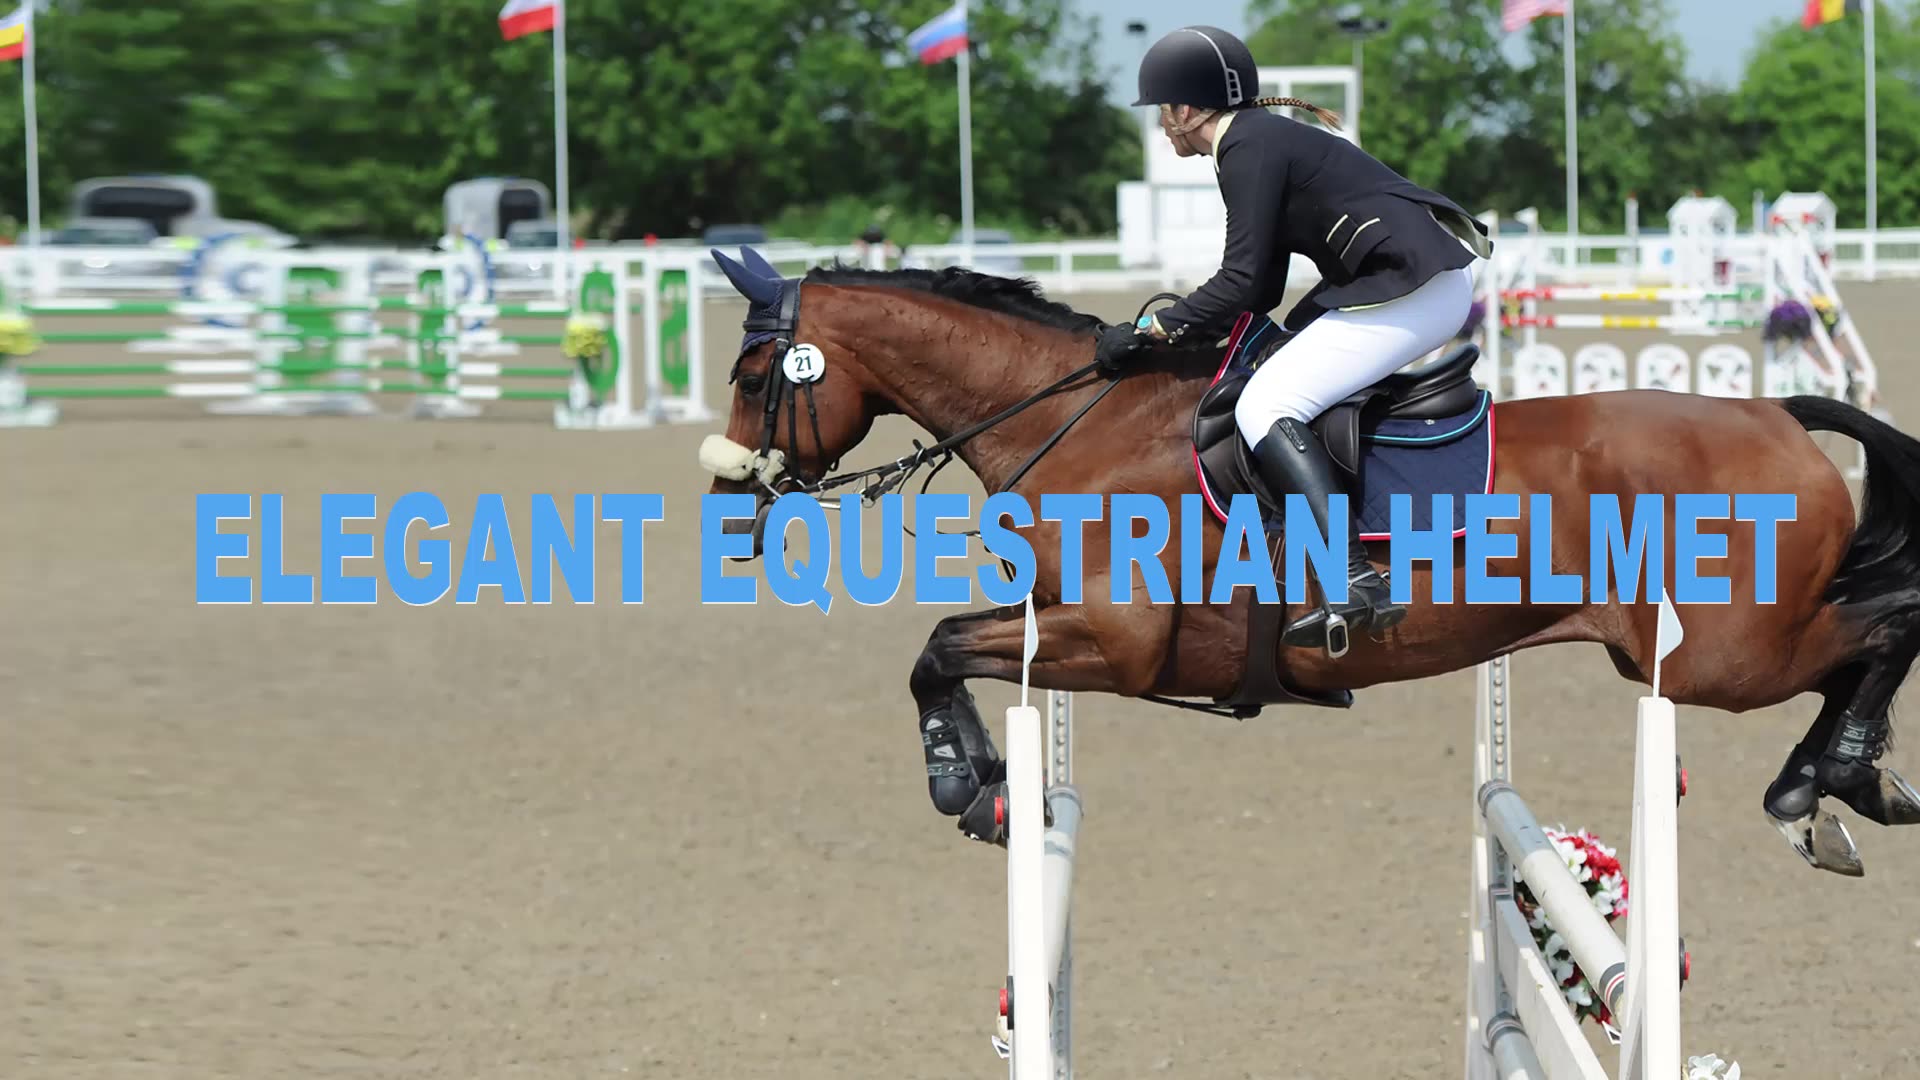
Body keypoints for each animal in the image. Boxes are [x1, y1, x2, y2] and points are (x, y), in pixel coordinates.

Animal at [696, 245, 1920, 878]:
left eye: (756, 376)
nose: (725, 501)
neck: (1082, 422)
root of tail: (1778, 412)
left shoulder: (1118, 645)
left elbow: (937, 650)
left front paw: (967, 782)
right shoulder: (1062, 627)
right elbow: (944, 649)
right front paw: (990, 784)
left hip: (1725, 654)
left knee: (1887, 624)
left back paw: (1832, 782)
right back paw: (1824, 788)